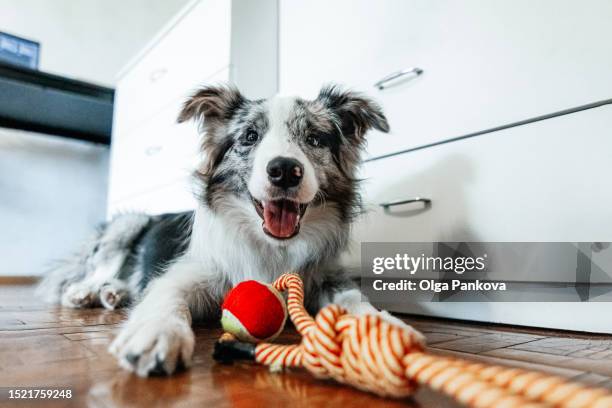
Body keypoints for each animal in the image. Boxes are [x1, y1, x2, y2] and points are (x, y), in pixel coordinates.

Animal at [38, 83, 420, 376]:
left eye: (314, 139)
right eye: (250, 136)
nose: (285, 170)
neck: (272, 247)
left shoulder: (325, 274)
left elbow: (353, 298)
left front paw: (381, 329)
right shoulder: (190, 271)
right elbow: (166, 295)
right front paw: (157, 332)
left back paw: (113, 293)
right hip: (128, 223)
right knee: (90, 273)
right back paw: (86, 292)